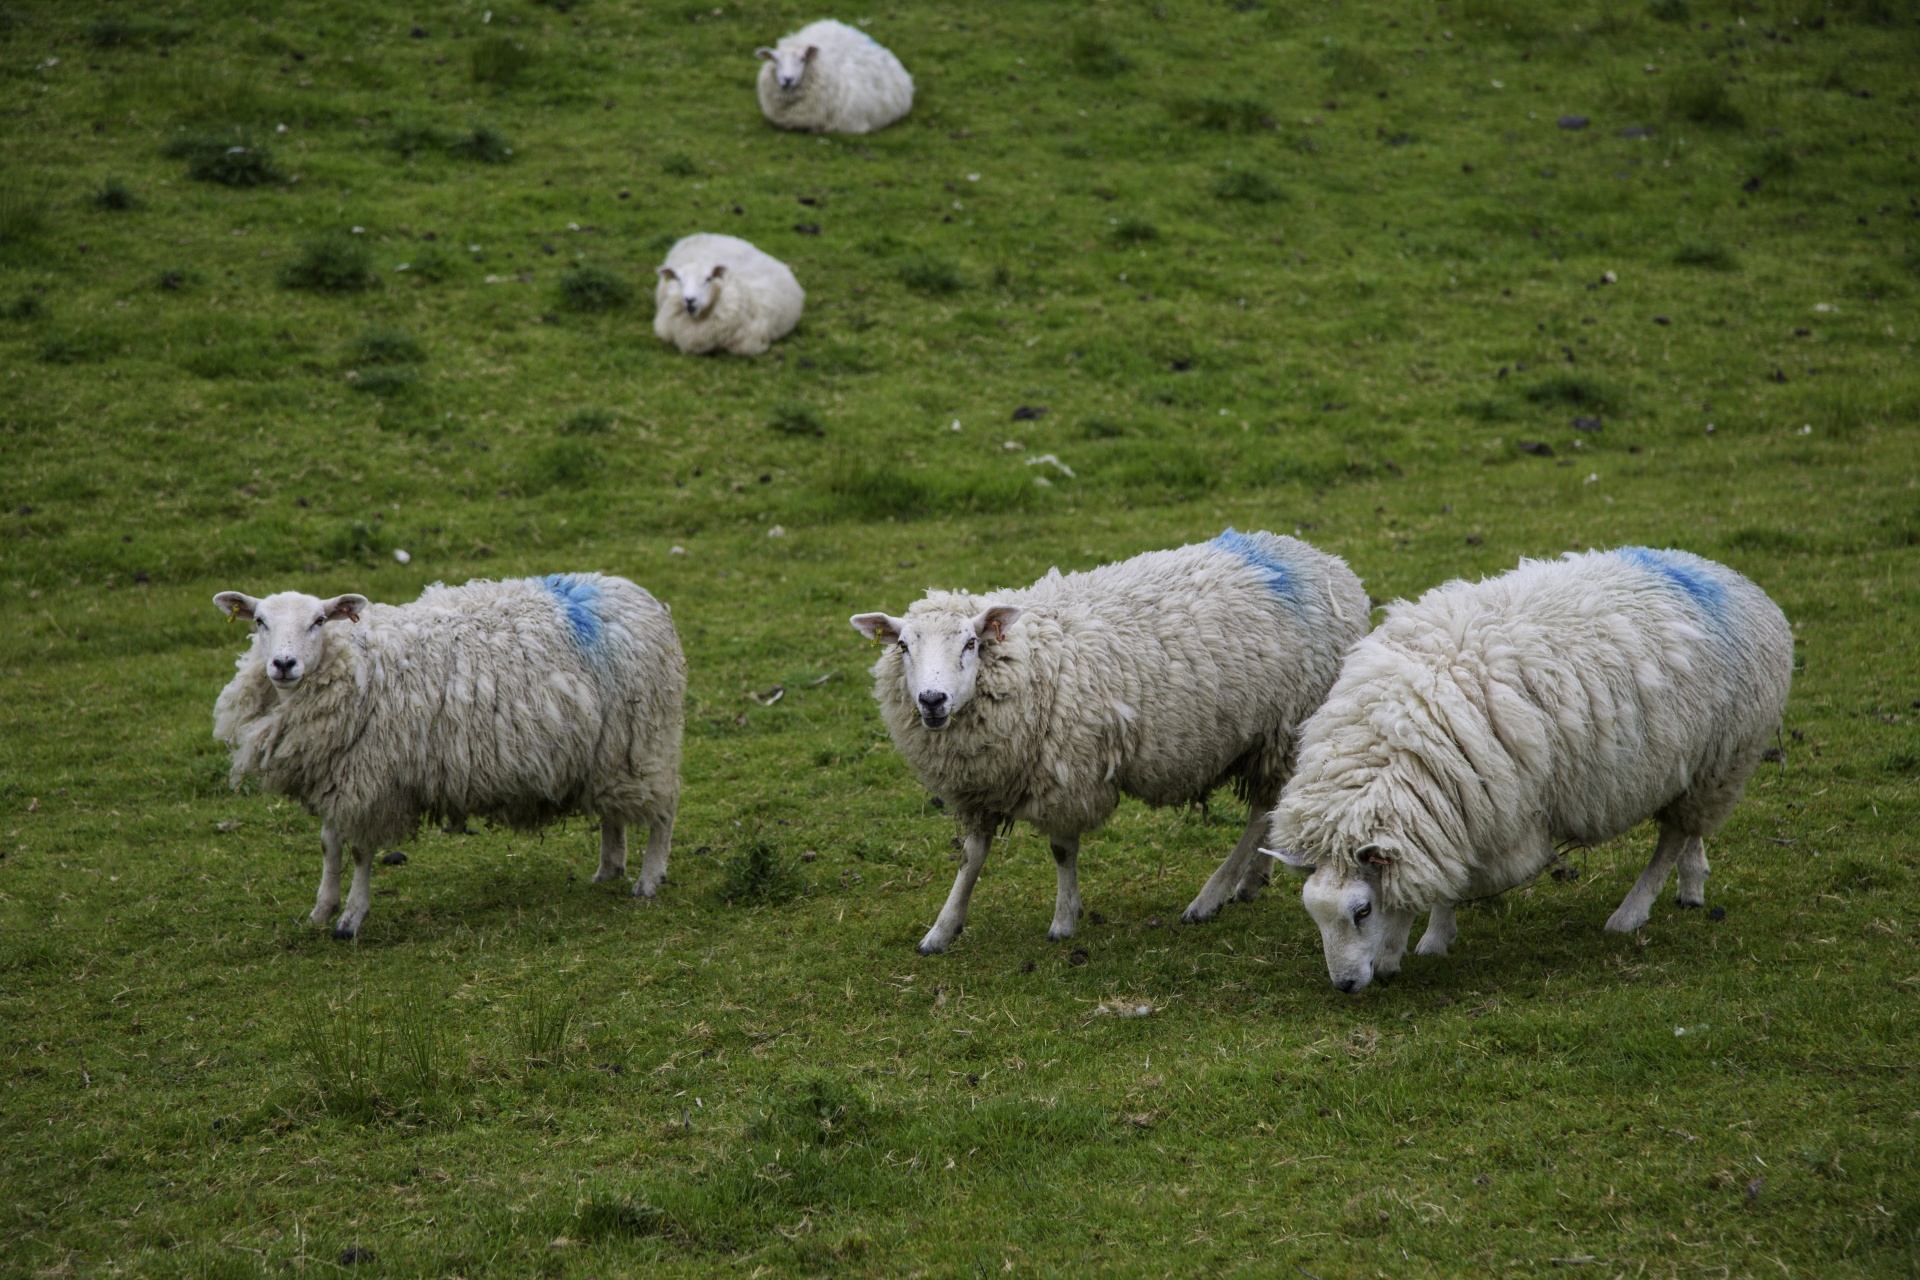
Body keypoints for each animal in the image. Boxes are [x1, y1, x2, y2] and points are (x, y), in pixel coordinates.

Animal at [210, 575, 687, 936]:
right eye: (259, 621)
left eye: (319, 620)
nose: (283, 664)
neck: (354, 659)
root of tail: (632, 594)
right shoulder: (339, 773)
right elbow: (330, 844)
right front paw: (321, 910)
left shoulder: (372, 778)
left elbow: (361, 851)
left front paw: (350, 918)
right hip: (607, 751)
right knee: (612, 812)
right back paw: (608, 869)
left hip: (645, 739)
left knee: (664, 810)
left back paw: (648, 880)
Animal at [852, 525, 1367, 955]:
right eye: (903, 646)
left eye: (970, 644)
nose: (932, 700)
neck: (1033, 658)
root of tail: (1323, 561)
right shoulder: (981, 784)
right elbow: (970, 856)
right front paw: (942, 929)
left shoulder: (1065, 772)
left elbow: (1062, 850)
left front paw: (1064, 922)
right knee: (1270, 810)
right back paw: (1251, 881)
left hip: (1284, 727)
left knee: (1262, 810)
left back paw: (1210, 896)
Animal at [1267, 545, 1789, 997]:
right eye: (1313, 913)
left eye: (1362, 911)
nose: (1345, 985)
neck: (1392, 738)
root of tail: (1728, 578)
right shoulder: (1458, 807)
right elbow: (1444, 876)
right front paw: (1435, 936)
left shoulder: (1486, 809)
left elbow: (1437, 882)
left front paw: (1405, 946)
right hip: (1698, 769)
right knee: (1686, 830)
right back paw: (1692, 884)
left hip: (1725, 757)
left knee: (1670, 839)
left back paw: (1630, 913)